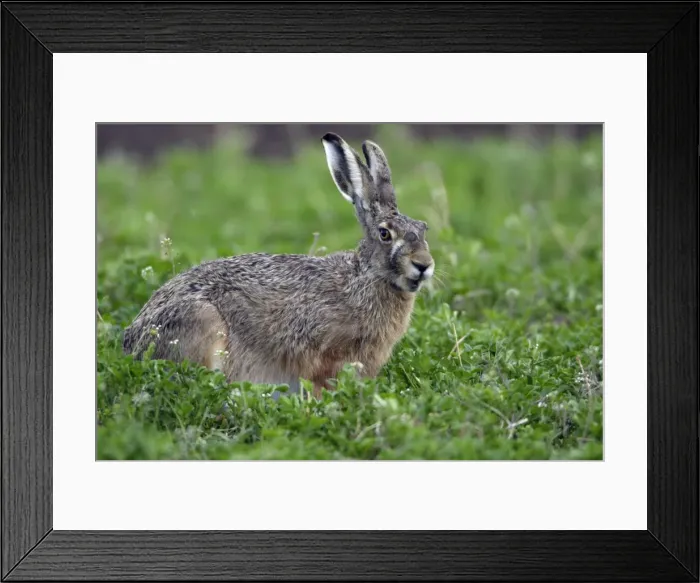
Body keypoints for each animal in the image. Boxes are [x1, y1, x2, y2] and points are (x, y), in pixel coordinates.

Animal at [122, 132, 435, 400]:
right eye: (384, 234)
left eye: (424, 229)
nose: (424, 265)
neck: (365, 277)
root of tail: (131, 346)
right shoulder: (321, 355)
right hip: (203, 323)